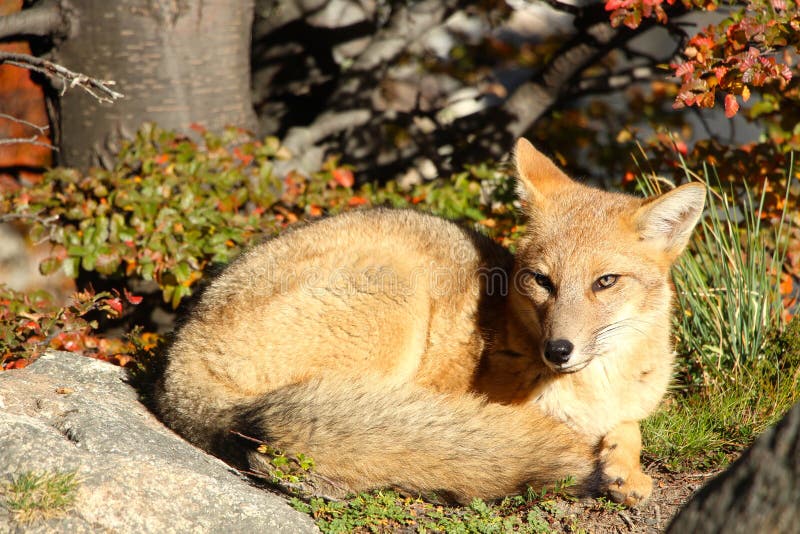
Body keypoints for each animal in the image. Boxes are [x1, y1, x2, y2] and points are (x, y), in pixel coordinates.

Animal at [153, 138, 704, 506]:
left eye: (605, 282)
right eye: (542, 281)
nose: (558, 351)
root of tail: (177, 369)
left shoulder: (628, 405)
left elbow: (630, 427)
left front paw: (626, 469)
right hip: (397, 299)